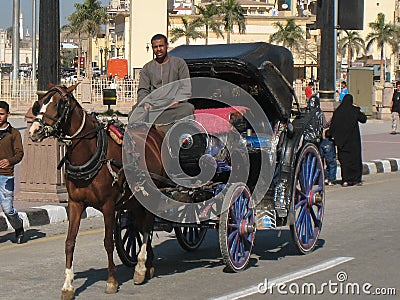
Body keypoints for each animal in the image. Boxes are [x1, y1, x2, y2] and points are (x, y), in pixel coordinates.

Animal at [28, 84, 164, 298]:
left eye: (59, 104)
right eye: (39, 103)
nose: (35, 130)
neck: (90, 152)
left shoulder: (108, 205)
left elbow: (108, 242)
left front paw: (111, 281)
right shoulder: (75, 204)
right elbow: (69, 242)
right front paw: (68, 286)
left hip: (153, 196)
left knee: (147, 227)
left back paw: (141, 267)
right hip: (133, 199)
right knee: (139, 225)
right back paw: (148, 265)